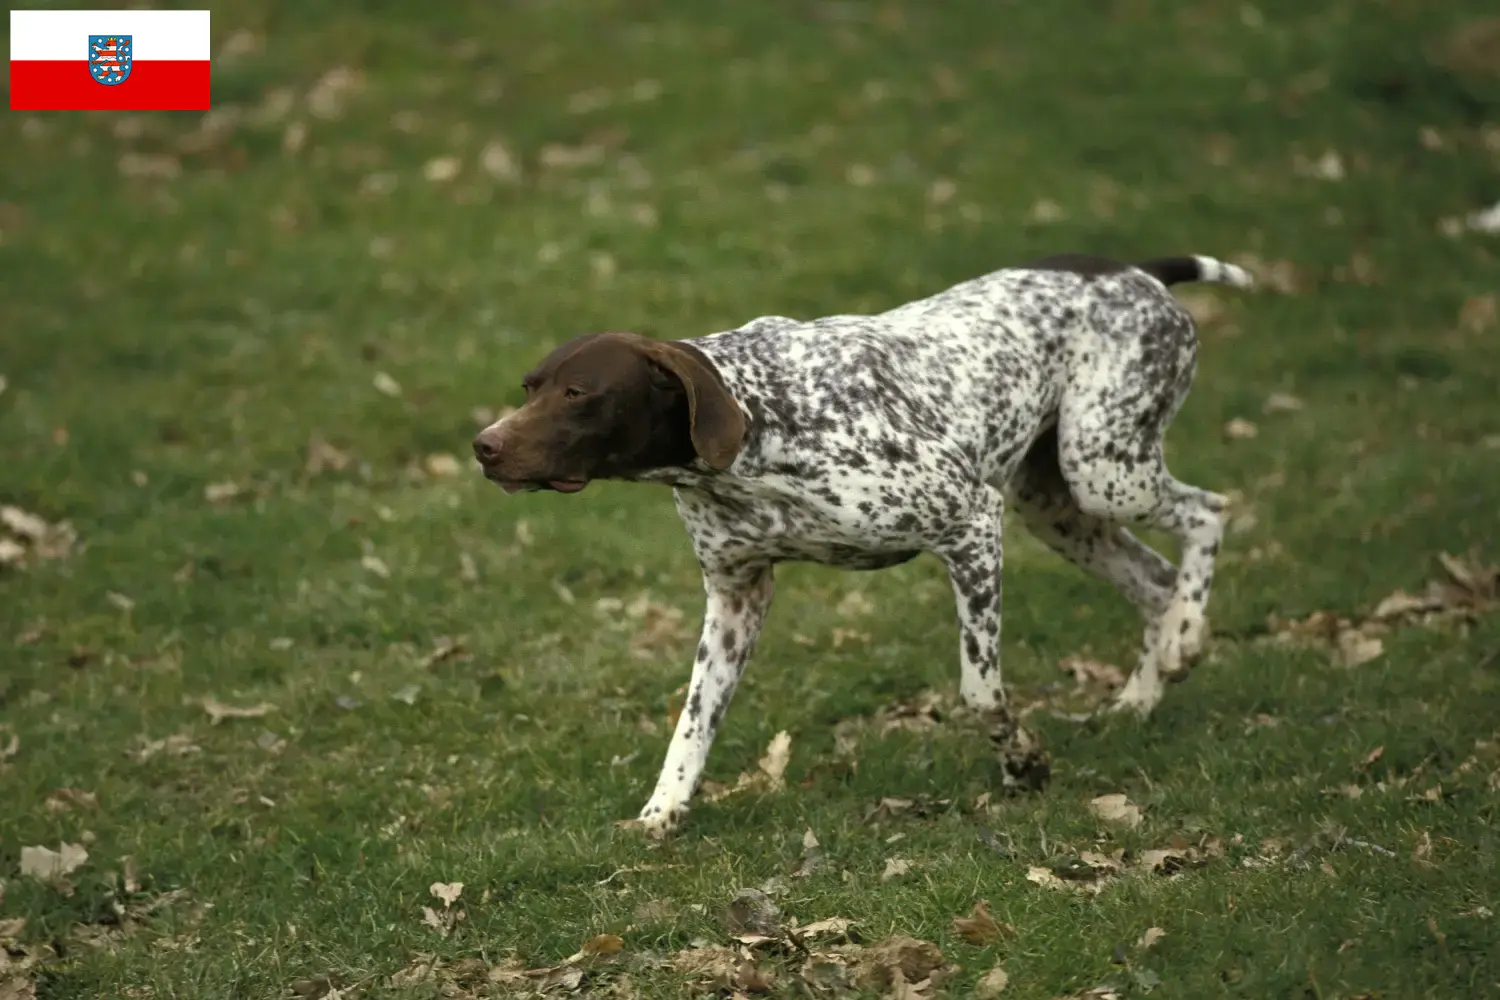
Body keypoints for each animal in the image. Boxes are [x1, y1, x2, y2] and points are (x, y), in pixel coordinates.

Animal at [474, 251, 1248, 839]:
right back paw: (1143, 694)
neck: (759, 421)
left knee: (1208, 514)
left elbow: (980, 692)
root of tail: (1138, 269)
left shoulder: (971, 526)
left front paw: (1023, 764)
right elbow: (692, 723)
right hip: (1060, 507)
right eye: (529, 386)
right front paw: (662, 813)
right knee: (1156, 582)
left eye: (578, 393)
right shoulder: (735, 596)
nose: (484, 446)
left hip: (1104, 469)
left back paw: (1184, 640)